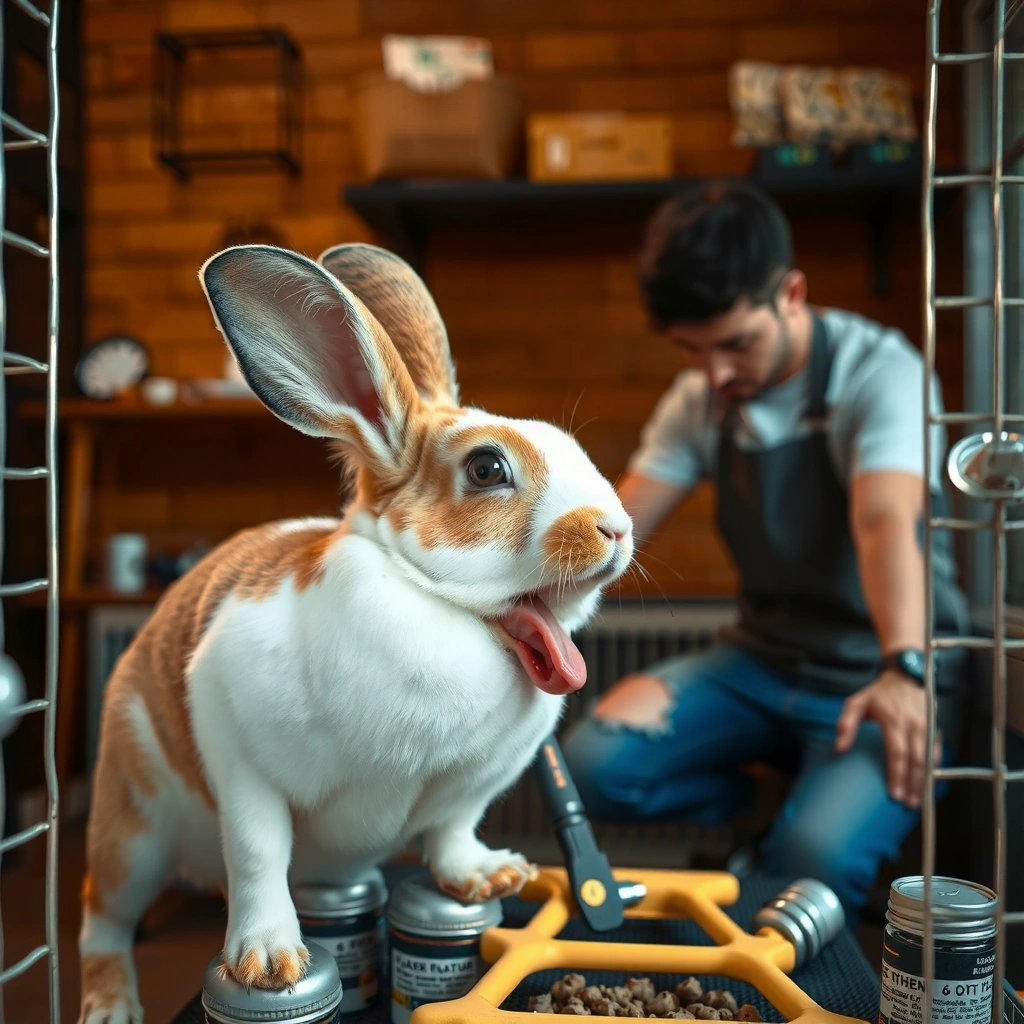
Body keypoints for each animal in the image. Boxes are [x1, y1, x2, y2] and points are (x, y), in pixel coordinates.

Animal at [77, 243, 634, 1024]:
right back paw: (110, 1004)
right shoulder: (239, 756)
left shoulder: (472, 788)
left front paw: (485, 879)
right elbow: (258, 853)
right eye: (487, 467)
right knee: (103, 915)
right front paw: (267, 962)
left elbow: (451, 832)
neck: (436, 604)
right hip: (131, 832)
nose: (615, 528)